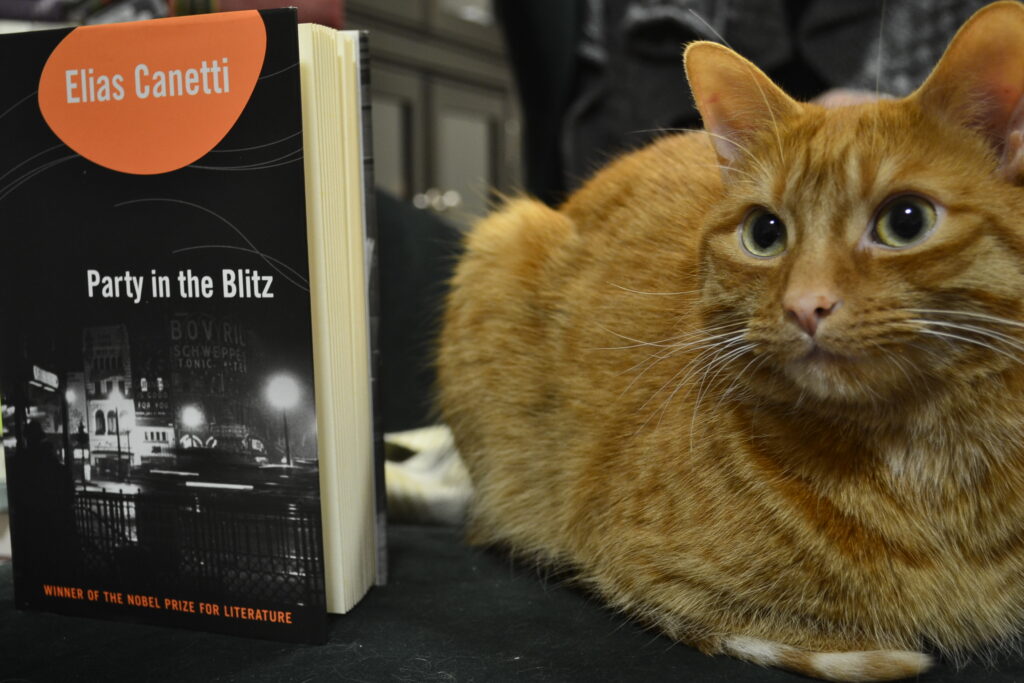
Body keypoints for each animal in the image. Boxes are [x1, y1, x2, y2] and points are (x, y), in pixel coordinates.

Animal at [438, 1, 1024, 683]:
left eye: (906, 221)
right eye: (764, 232)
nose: (805, 306)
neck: (930, 463)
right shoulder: (626, 558)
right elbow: (753, 631)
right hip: (501, 242)